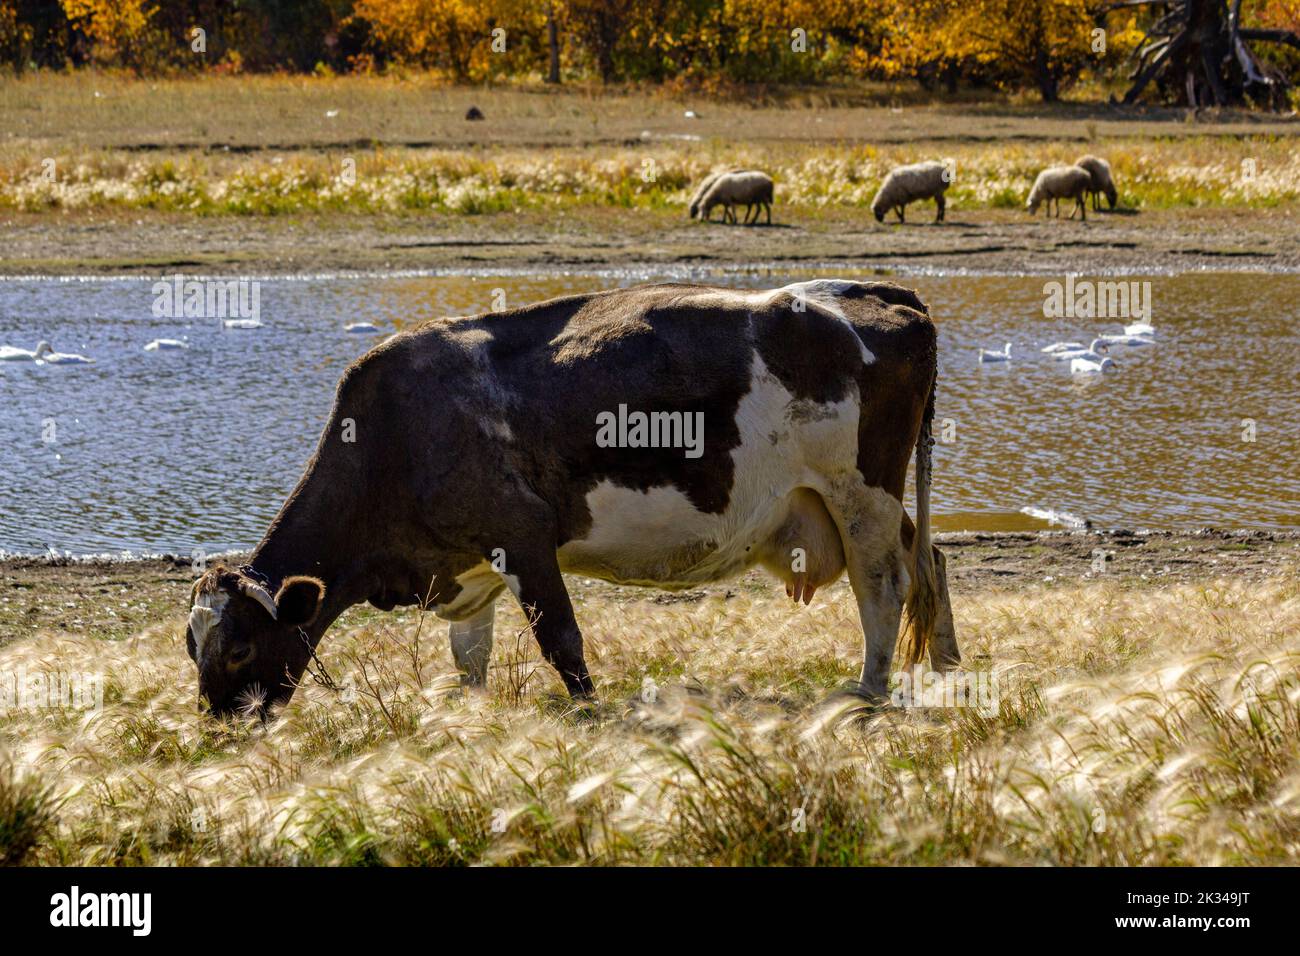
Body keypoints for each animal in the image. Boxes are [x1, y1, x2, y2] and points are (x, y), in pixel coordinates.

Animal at [186, 280, 960, 719]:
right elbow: (470, 657)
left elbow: (561, 640)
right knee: (931, 559)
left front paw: (590, 714)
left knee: (884, 586)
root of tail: (885, 296)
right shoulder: (467, 564)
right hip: (867, 503)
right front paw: (470, 719)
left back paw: (869, 691)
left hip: (859, 493)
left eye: (239, 647)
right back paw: (947, 667)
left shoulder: (522, 536)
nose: (219, 724)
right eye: (193, 647)